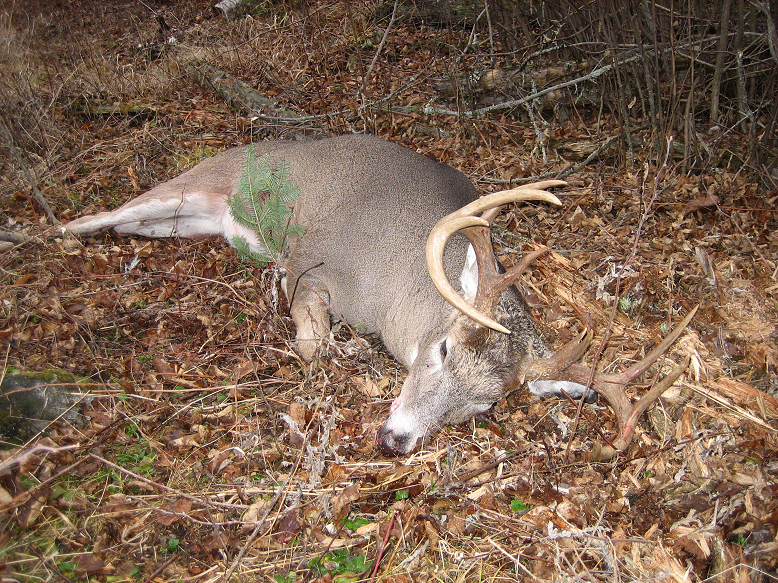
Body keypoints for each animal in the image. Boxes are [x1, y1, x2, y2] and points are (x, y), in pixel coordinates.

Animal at [65, 134, 695, 457]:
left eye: (485, 405)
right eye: (441, 349)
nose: (395, 439)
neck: (394, 292)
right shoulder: (311, 262)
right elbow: (312, 339)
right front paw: (326, 353)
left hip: (186, 223)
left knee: (137, 227)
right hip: (197, 182)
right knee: (97, 215)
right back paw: (52, 232)